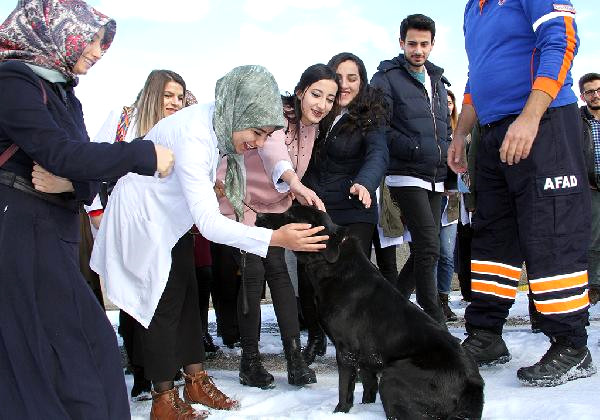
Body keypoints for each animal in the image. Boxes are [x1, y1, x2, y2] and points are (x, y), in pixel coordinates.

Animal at [255, 205, 486, 420]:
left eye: (290, 215)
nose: (259, 215)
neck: (330, 264)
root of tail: (472, 384)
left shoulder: (346, 349)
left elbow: (345, 388)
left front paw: (340, 411)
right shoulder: (367, 355)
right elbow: (368, 386)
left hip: (394, 375)